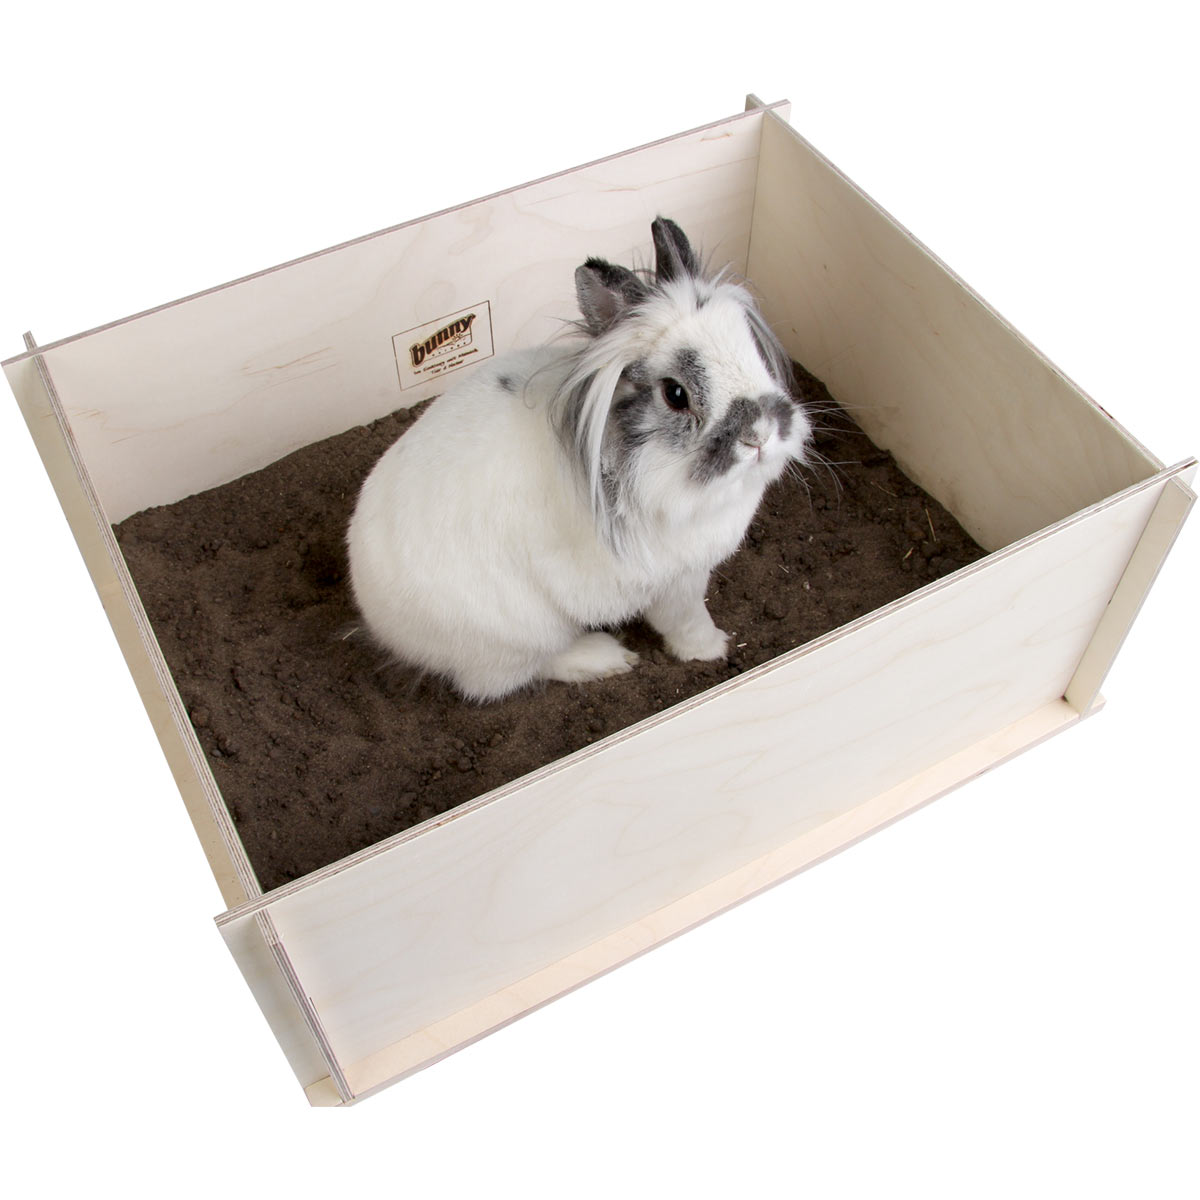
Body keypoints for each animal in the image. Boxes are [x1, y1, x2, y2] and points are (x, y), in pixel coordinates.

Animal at [347, 216, 814, 701]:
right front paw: (712, 649)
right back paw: (605, 657)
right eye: (675, 394)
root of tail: (378, 615)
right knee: (513, 675)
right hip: (520, 636)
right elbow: (686, 620)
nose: (760, 434)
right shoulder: (674, 583)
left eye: (751, 348)